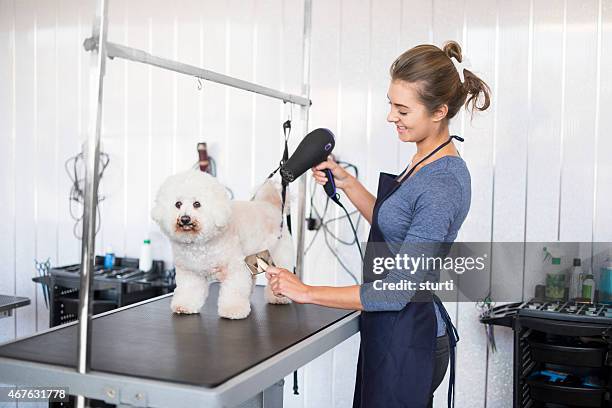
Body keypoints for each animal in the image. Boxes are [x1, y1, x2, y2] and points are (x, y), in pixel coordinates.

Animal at [154, 169, 296, 318]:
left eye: (197, 204)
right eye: (178, 204)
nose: (185, 218)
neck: (200, 244)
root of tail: (272, 206)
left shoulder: (235, 268)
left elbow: (234, 290)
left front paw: (233, 310)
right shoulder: (190, 272)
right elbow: (189, 290)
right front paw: (185, 306)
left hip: (278, 257)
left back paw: (279, 298)